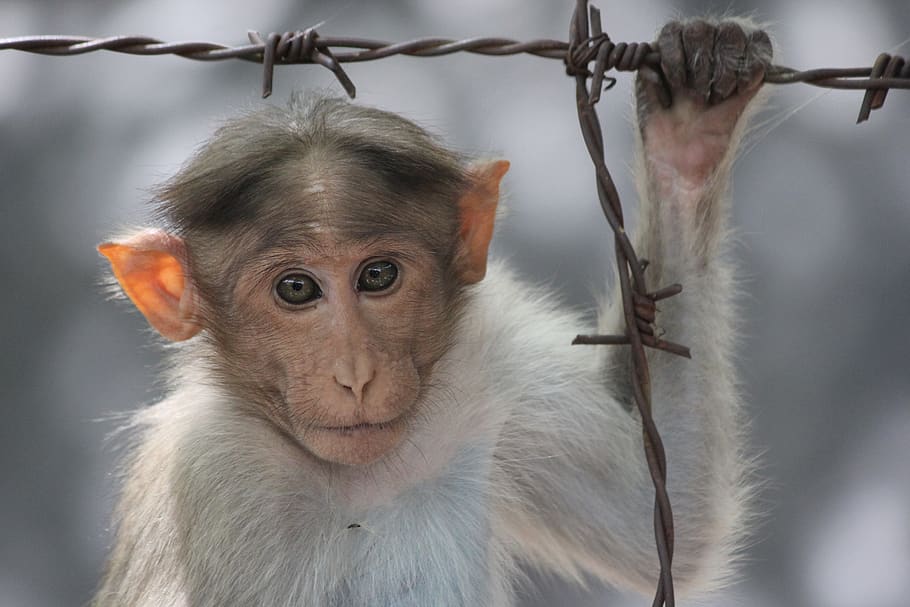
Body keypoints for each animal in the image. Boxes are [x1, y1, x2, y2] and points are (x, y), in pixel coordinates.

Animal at [95, 18, 771, 607]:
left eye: (377, 276)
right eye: (296, 289)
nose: (356, 374)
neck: (355, 477)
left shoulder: (491, 371)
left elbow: (662, 515)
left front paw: (691, 117)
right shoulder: (210, 476)